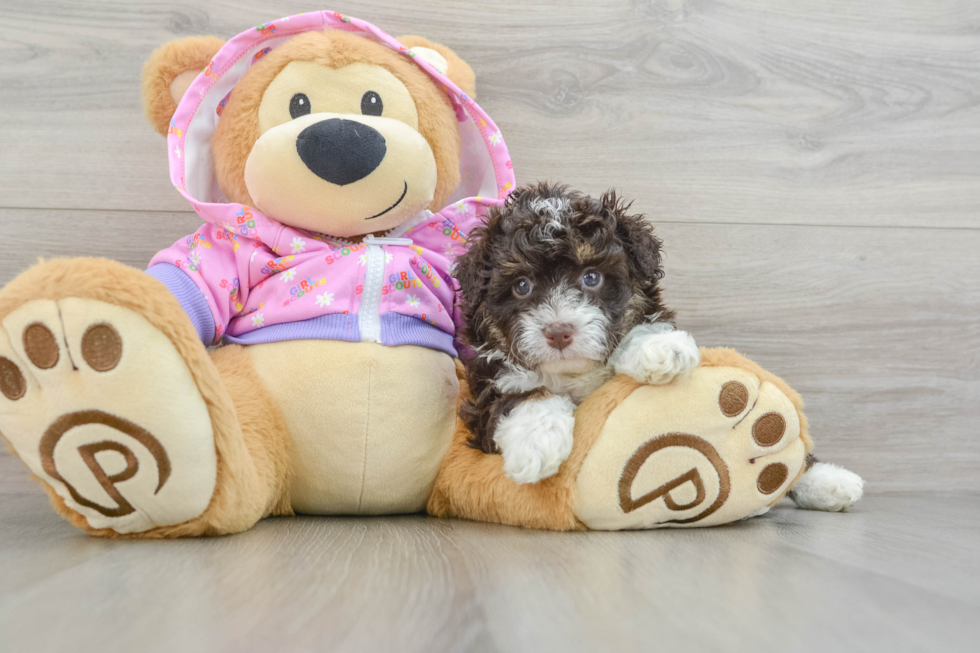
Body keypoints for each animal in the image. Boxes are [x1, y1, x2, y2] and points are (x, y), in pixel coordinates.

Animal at [456, 183, 700, 484]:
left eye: (591, 277)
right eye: (522, 285)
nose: (559, 332)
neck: (570, 374)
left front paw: (660, 346)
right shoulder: (486, 389)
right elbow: (520, 395)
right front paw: (536, 441)